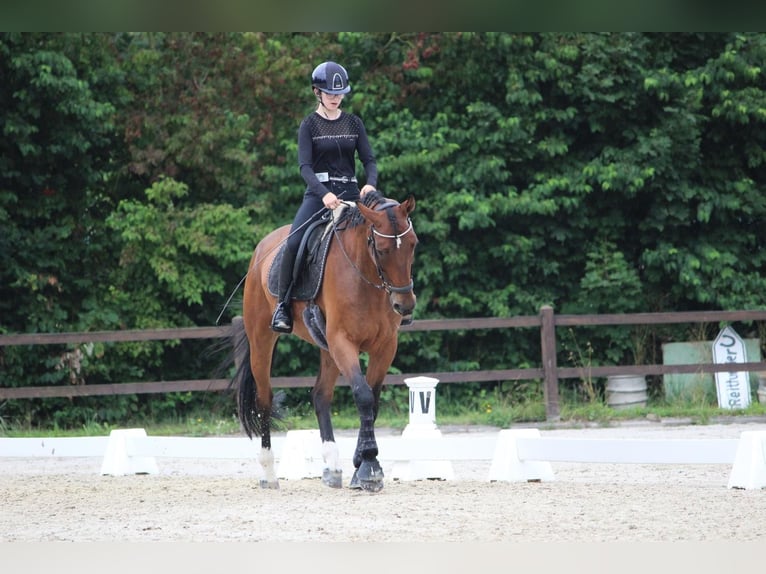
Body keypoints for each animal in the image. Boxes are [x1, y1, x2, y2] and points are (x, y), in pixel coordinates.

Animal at [231, 190, 417, 492]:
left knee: (320, 396)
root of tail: (263, 247)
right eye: (381, 249)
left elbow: (373, 401)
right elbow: (363, 395)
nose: (405, 305)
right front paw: (369, 468)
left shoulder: (385, 346)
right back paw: (269, 473)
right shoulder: (343, 341)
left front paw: (360, 466)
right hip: (262, 339)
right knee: (264, 399)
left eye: (413, 244)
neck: (365, 275)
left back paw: (332, 466)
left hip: (326, 348)